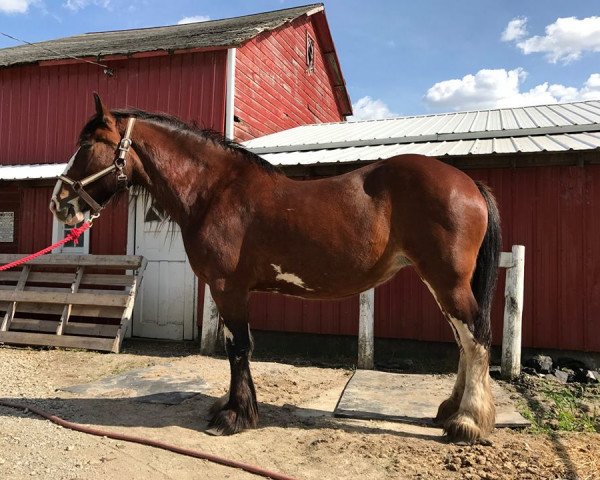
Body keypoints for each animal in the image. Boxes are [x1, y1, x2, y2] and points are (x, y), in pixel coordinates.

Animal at [51, 94, 502, 442]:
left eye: (87, 145)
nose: (59, 203)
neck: (216, 191)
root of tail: (467, 183)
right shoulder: (230, 291)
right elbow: (237, 348)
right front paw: (235, 408)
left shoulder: (228, 289)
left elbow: (238, 348)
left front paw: (234, 417)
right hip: (440, 282)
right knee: (464, 341)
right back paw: (450, 410)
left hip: (447, 281)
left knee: (476, 338)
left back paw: (467, 423)